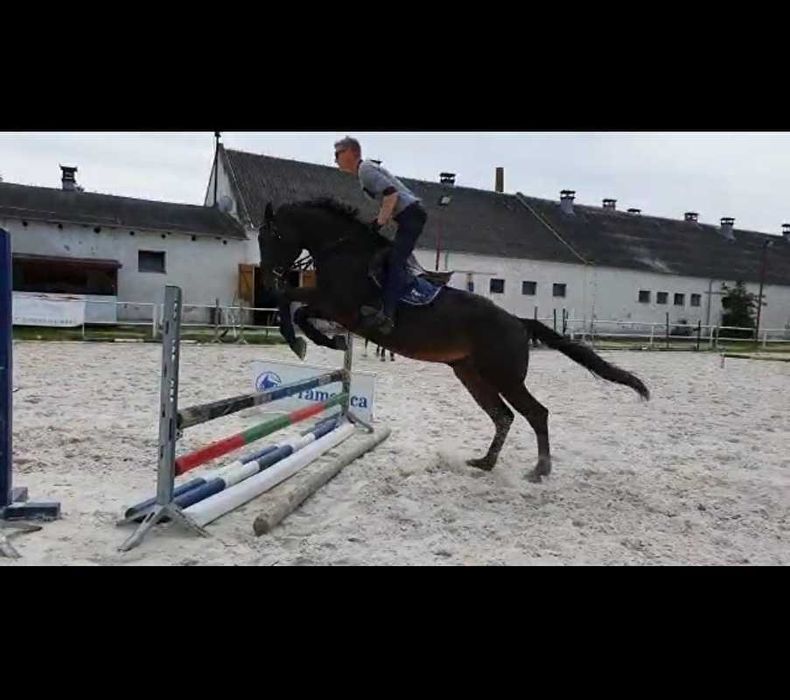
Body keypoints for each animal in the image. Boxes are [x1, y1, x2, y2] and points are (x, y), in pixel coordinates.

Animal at [260, 198, 648, 482]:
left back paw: (540, 469)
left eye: (273, 237)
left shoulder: (337, 305)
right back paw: (485, 462)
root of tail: (518, 322)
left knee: (536, 413)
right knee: (503, 416)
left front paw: (304, 342)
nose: (266, 275)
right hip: (471, 374)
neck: (343, 250)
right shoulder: (330, 304)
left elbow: (292, 302)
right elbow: (295, 305)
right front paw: (321, 342)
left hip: (503, 375)